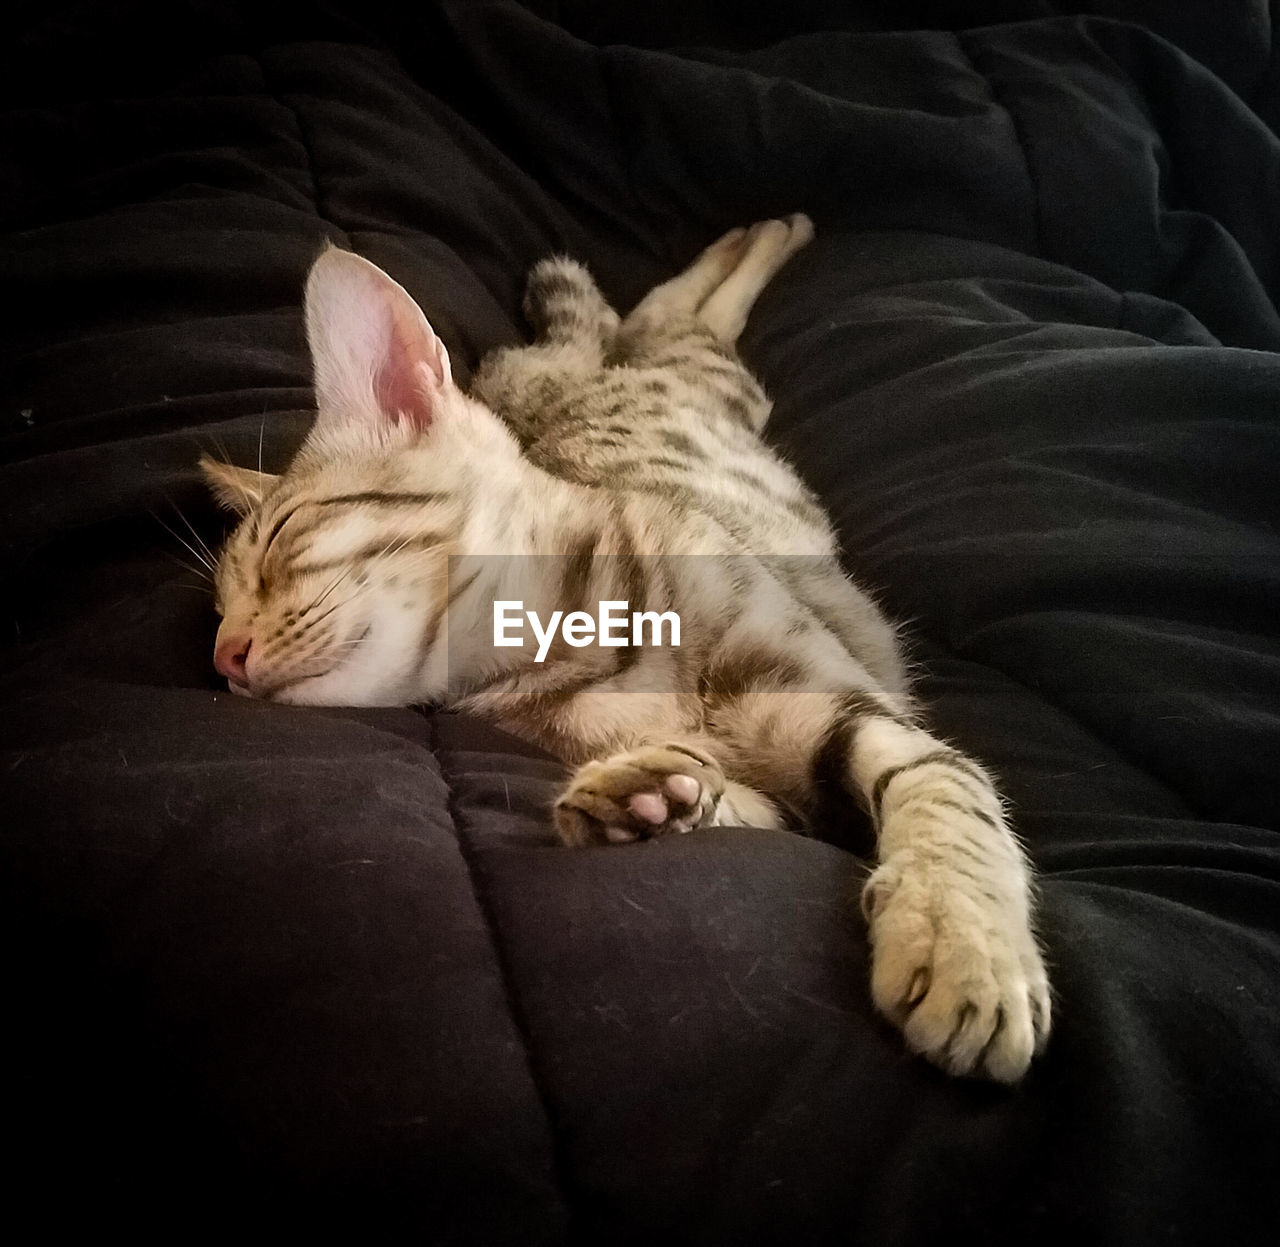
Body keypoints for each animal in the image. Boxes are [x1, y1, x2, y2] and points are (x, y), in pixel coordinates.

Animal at [199, 220, 1049, 1090]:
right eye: (219, 607)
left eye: (281, 538)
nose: (225, 655)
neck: (561, 640)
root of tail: (554, 377)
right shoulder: (789, 806)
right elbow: (733, 800)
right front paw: (647, 795)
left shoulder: (850, 705)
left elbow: (950, 790)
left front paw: (962, 939)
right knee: (644, 316)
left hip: (716, 380)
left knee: (675, 315)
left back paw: (771, 232)